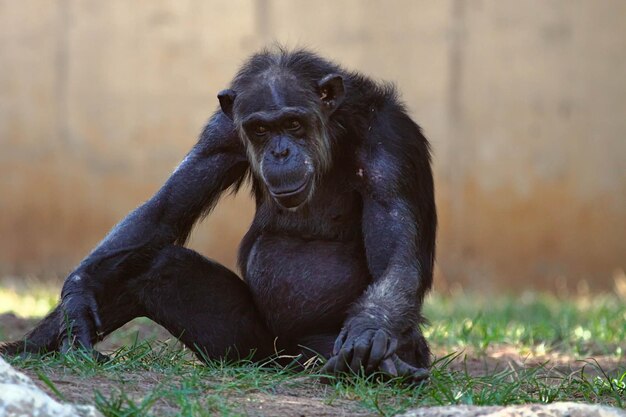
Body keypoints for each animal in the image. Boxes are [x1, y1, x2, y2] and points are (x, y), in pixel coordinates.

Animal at [1, 48, 434, 380]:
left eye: (294, 123)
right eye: (260, 129)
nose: (280, 152)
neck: (336, 127)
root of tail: (284, 361)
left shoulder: (389, 143)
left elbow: (395, 256)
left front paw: (369, 331)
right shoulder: (220, 134)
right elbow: (162, 211)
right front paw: (75, 299)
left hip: (312, 351)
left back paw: (391, 368)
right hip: (248, 349)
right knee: (154, 263)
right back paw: (33, 347)